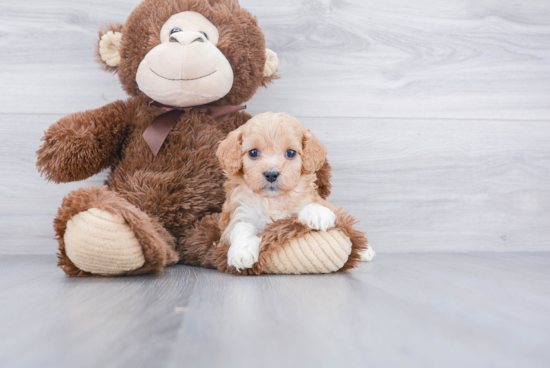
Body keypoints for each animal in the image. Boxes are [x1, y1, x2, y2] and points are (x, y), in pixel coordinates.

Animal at [217, 112, 338, 270]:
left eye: (291, 153)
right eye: (253, 152)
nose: (271, 174)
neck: (271, 200)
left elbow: (308, 203)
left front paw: (317, 213)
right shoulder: (234, 219)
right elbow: (241, 226)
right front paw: (242, 250)